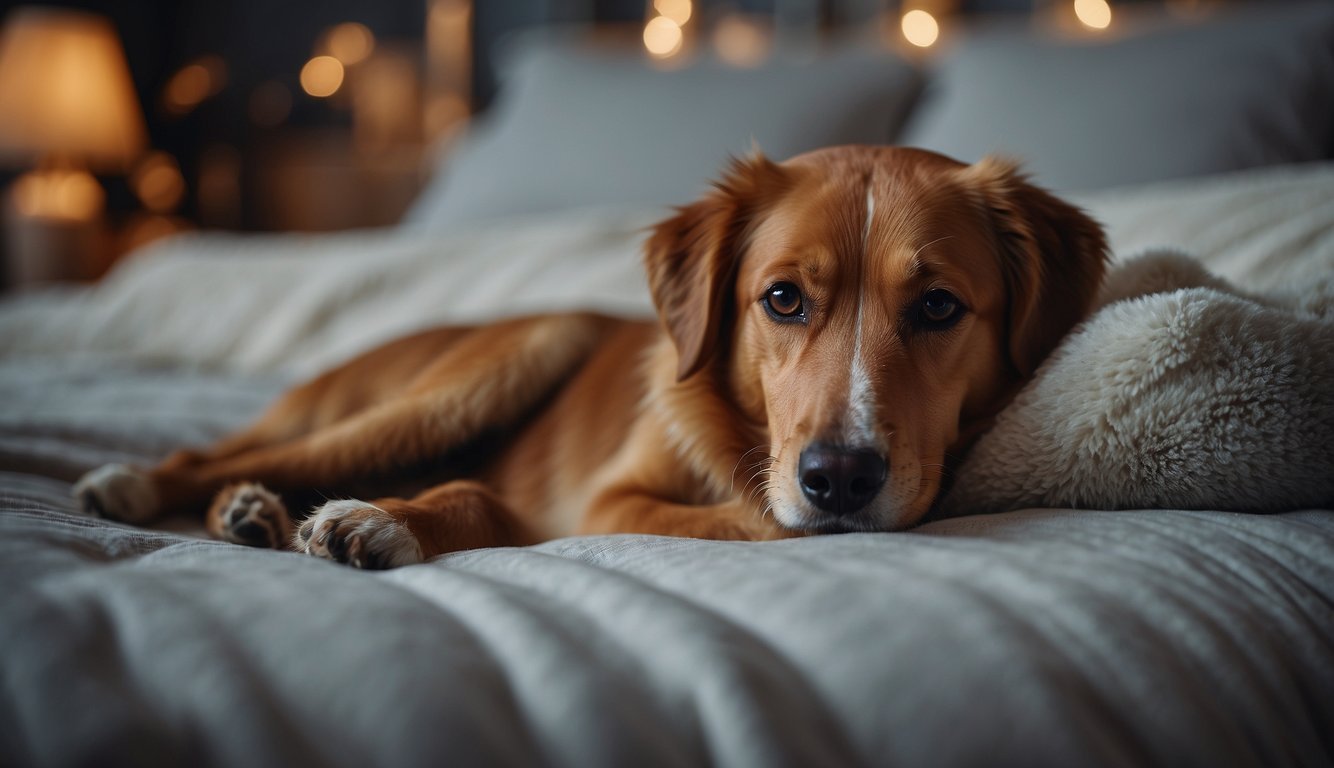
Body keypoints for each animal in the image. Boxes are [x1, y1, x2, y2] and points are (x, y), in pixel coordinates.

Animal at [78, 146, 1109, 568]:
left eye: (939, 307)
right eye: (782, 298)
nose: (840, 479)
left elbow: (766, 519)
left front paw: (386, 519)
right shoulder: (613, 498)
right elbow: (761, 520)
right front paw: (386, 521)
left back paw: (250, 514)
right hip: (506, 362)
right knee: (217, 453)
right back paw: (155, 486)